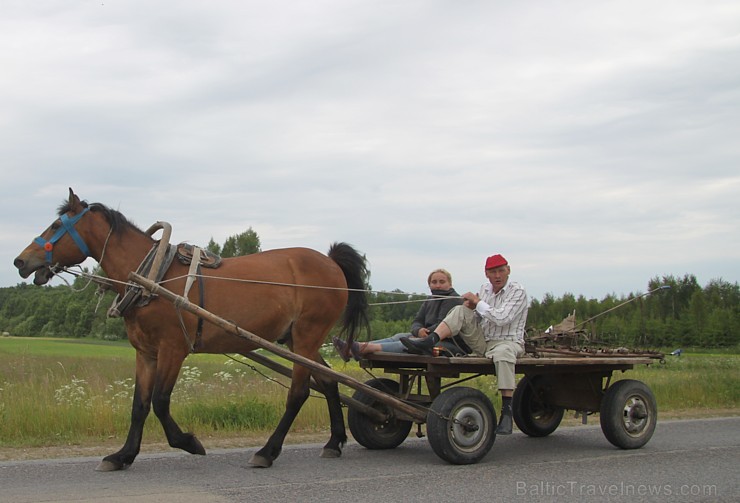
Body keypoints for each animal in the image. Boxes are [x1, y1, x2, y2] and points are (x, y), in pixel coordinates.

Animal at [13, 187, 368, 470]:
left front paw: (188, 442)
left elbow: (159, 402)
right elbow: (139, 405)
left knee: (299, 393)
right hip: (298, 341)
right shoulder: (146, 353)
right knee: (329, 382)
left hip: (307, 336)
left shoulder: (173, 349)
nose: (20, 261)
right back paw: (333, 443)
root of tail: (330, 261)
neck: (152, 278)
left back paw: (267, 452)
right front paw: (122, 455)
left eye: (56, 225)